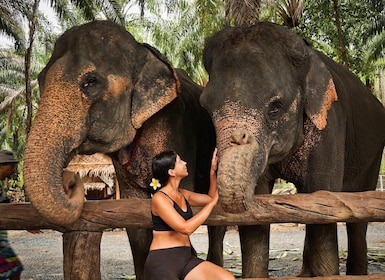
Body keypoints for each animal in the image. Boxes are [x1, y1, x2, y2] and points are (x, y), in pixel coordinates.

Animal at [21, 20, 225, 280]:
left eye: (90, 82)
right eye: (40, 79)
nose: (71, 181)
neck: (143, 52)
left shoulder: (180, 132)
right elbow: (135, 221)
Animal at [200, 21, 384, 278]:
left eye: (275, 108)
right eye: (206, 109)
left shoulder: (330, 127)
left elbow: (323, 200)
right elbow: (258, 215)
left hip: (373, 153)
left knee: (358, 215)